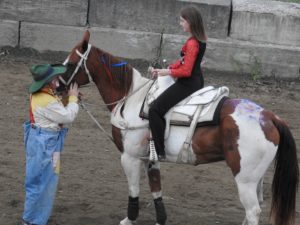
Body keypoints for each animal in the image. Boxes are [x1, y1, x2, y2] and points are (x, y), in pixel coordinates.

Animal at [59, 30, 298, 225]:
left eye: (70, 64)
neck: (131, 98)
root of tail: (269, 116)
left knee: (253, 211)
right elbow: (156, 189)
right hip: (256, 178)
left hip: (245, 179)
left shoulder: (130, 157)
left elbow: (134, 189)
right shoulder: (151, 157)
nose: (58, 86)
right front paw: (161, 219)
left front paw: (130, 218)